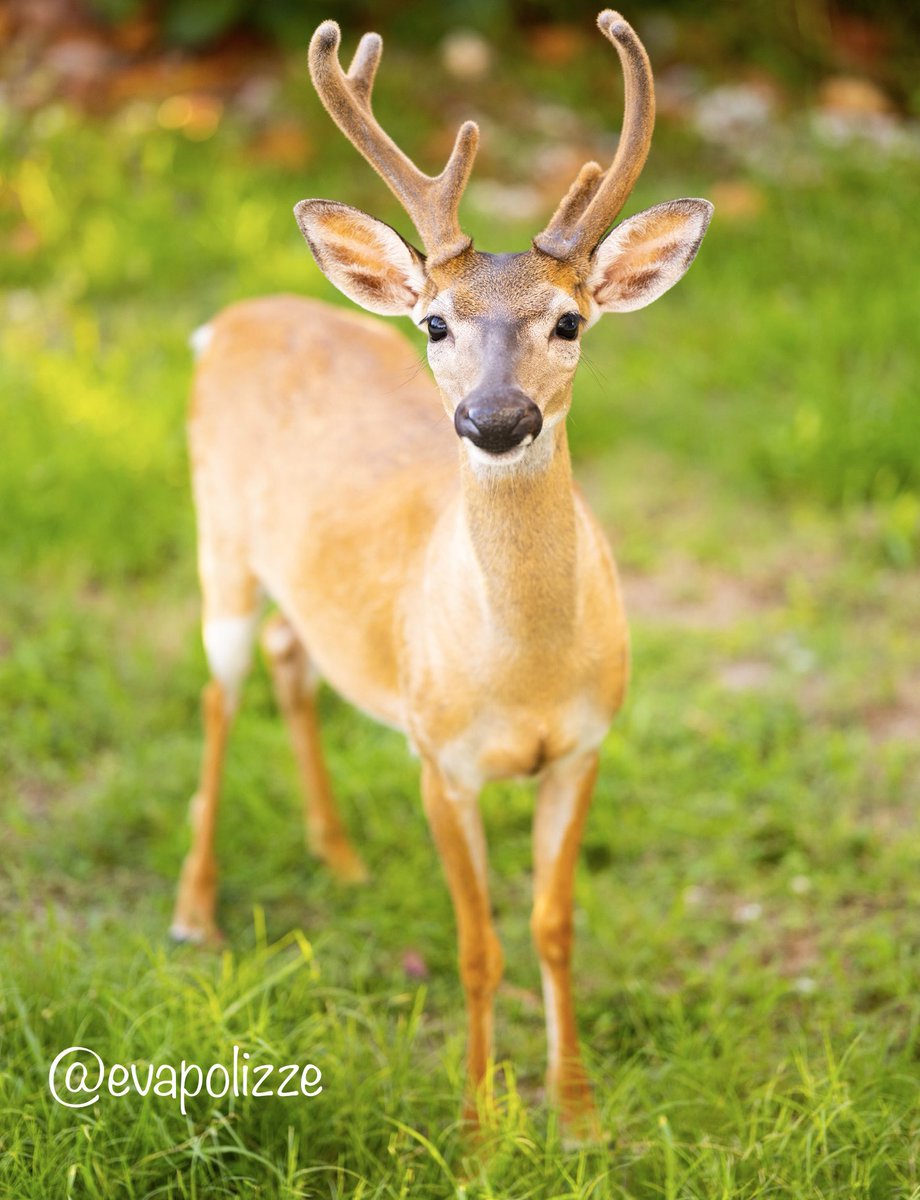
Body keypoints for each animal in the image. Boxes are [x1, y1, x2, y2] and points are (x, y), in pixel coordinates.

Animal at [169, 9, 712, 1141]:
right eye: (434, 321)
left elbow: (552, 927)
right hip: (216, 542)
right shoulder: (438, 756)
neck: (522, 676)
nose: (495, 417)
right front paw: (476, 1129)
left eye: (569, 320)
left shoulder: (585, 743)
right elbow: (474, 946)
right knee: (217, 691)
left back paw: (338, 856)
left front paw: (577, 1117)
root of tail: (228, 319)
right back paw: (194, 912)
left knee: (292, 657)